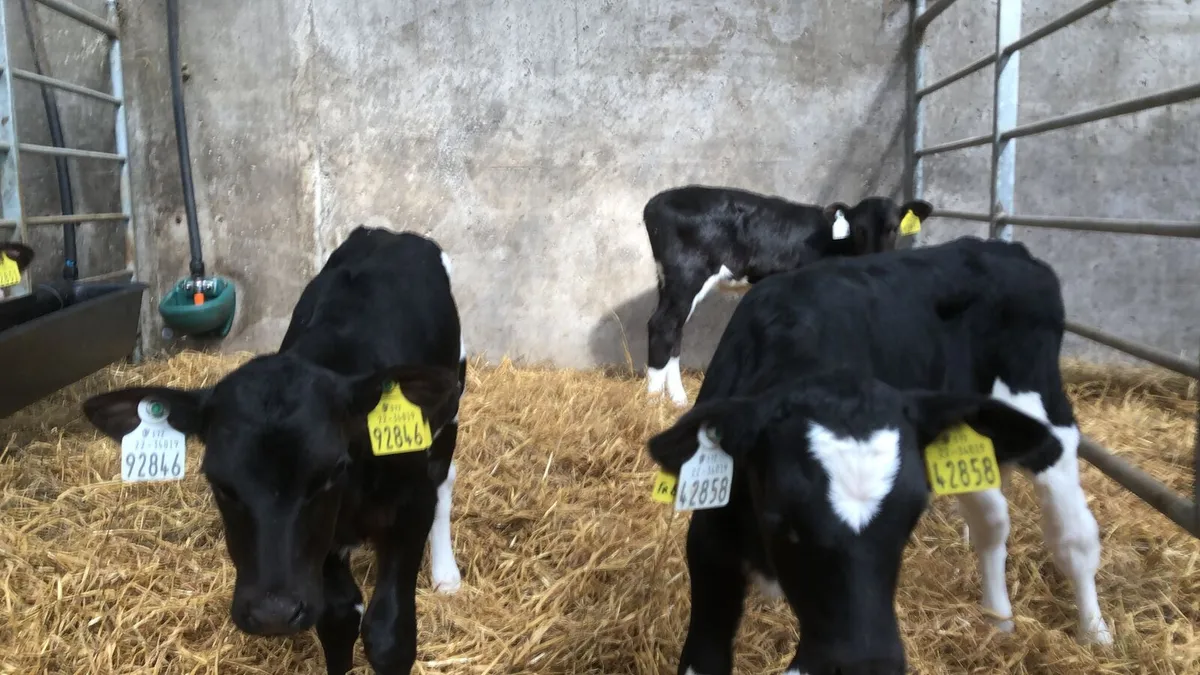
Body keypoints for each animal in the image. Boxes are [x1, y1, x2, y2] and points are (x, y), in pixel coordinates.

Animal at [81, 227, 468, 675]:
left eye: (332, 471)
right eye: (220, 483)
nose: (273, 613)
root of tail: (388, 233)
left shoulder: (411, 509)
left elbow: (390, 634)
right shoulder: (319, 551)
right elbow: (338, 616)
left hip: (451, 407)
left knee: (445, 478)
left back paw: (446, 572)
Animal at [642, 184, 932, 406]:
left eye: (893, 227)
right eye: (859, 229)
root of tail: (656, 202)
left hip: (669, 279)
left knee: (675, 331)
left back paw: (677, 400)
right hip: (687, 274)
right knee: (663, 324)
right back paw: (652, 401)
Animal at [646, 236, 1110, 675]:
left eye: (912, 516)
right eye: (780, 517)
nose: (866, 663)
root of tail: (1006, 248)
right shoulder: (709, 548)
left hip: (1043, 410)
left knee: (1073, 536)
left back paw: (1096, 634)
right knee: (992, 520)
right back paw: (999, 619)